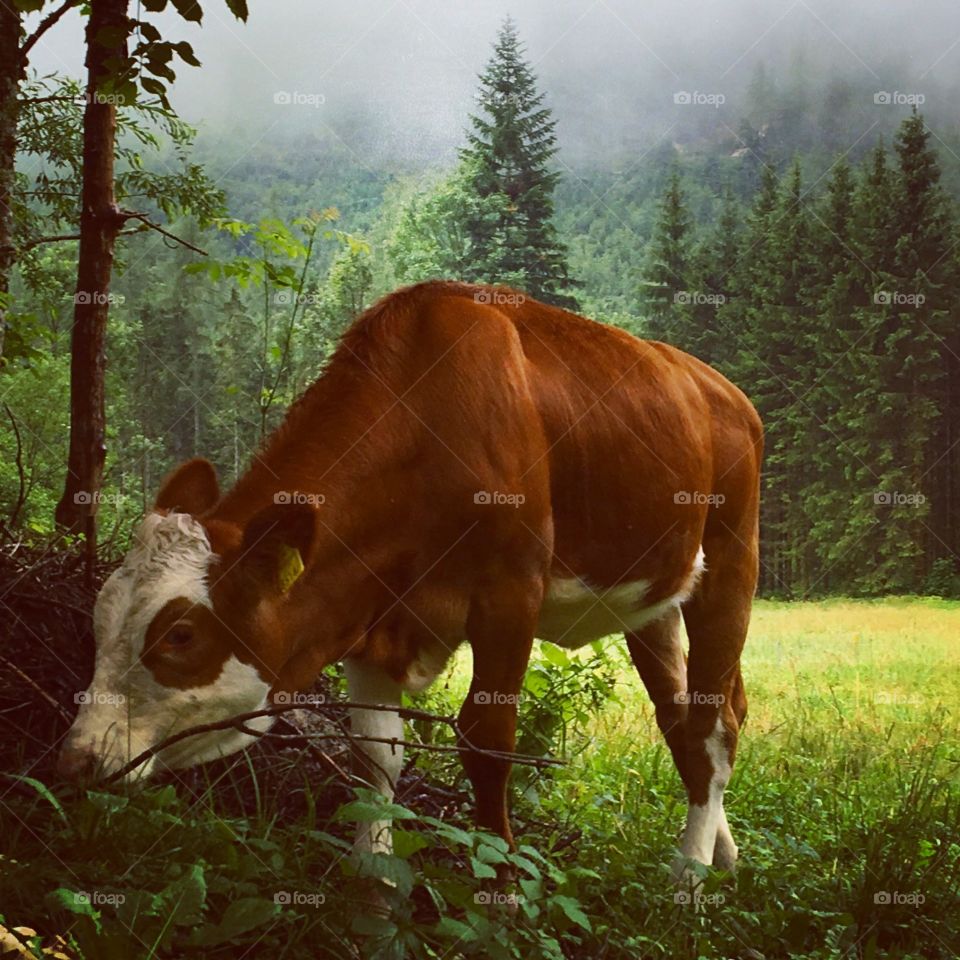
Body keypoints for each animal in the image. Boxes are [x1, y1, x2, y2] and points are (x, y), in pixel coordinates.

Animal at [58, 280, 762, 881]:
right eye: (100, 615)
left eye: (179, 634)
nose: (76, 758)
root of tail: (721, 388)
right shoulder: (366, 606)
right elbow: (375, 756)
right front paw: (371, 880)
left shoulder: (511, 590)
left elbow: (487, 741)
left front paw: (503, 885)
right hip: (656, 601)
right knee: (684, 717)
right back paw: (721, 852)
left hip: (734, 563)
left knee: (714, 722)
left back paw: (690, 875)